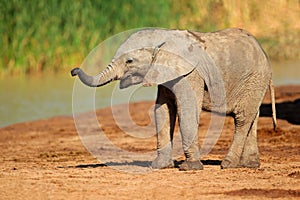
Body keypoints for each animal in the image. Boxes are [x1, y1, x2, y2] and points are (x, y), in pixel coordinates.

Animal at [71, 28, 276, 170]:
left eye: (129, 61)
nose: (73, 70)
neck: (164, 37)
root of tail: (264, 53)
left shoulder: (190, 74)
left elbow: (187, 111)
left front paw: (190, 168)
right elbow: (162, 110)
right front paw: (159, 166)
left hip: (254, 78)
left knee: (242, 119)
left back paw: (228, 164)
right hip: (254, 83)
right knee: (252, 118)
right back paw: (250, 165)